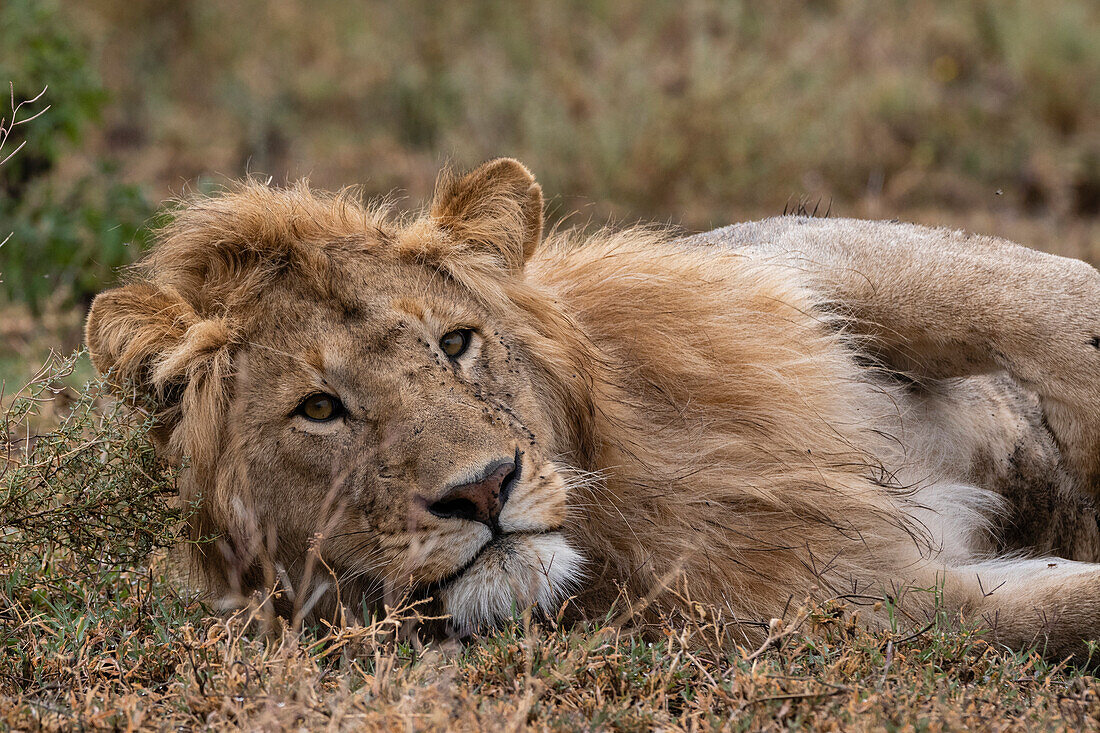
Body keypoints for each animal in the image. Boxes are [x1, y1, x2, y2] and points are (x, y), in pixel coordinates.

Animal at [88, 158, 1100, 655]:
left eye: (455, 342)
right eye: (320, 409)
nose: (484, 489)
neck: (621, 503)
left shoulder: (795, 255)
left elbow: (1040, 304)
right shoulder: (865, 596)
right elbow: (1052, 613)